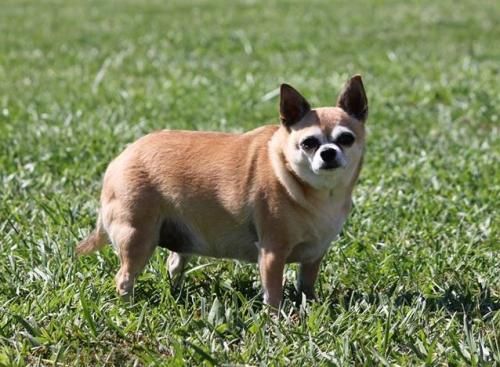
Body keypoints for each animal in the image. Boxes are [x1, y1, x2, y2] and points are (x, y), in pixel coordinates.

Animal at [77, 76, 368, 310]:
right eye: (308, 143)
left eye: (346, 139)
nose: (328, 152)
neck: (320, 192)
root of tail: (119, 159)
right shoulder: (272, 253)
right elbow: (273, 293)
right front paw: (276, 321)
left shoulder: (314, 256)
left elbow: (306, 285)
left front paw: (312, 306)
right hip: (137, 237)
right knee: (124, 278)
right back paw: (129, 308)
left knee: (173, 263)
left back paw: (176, 295)